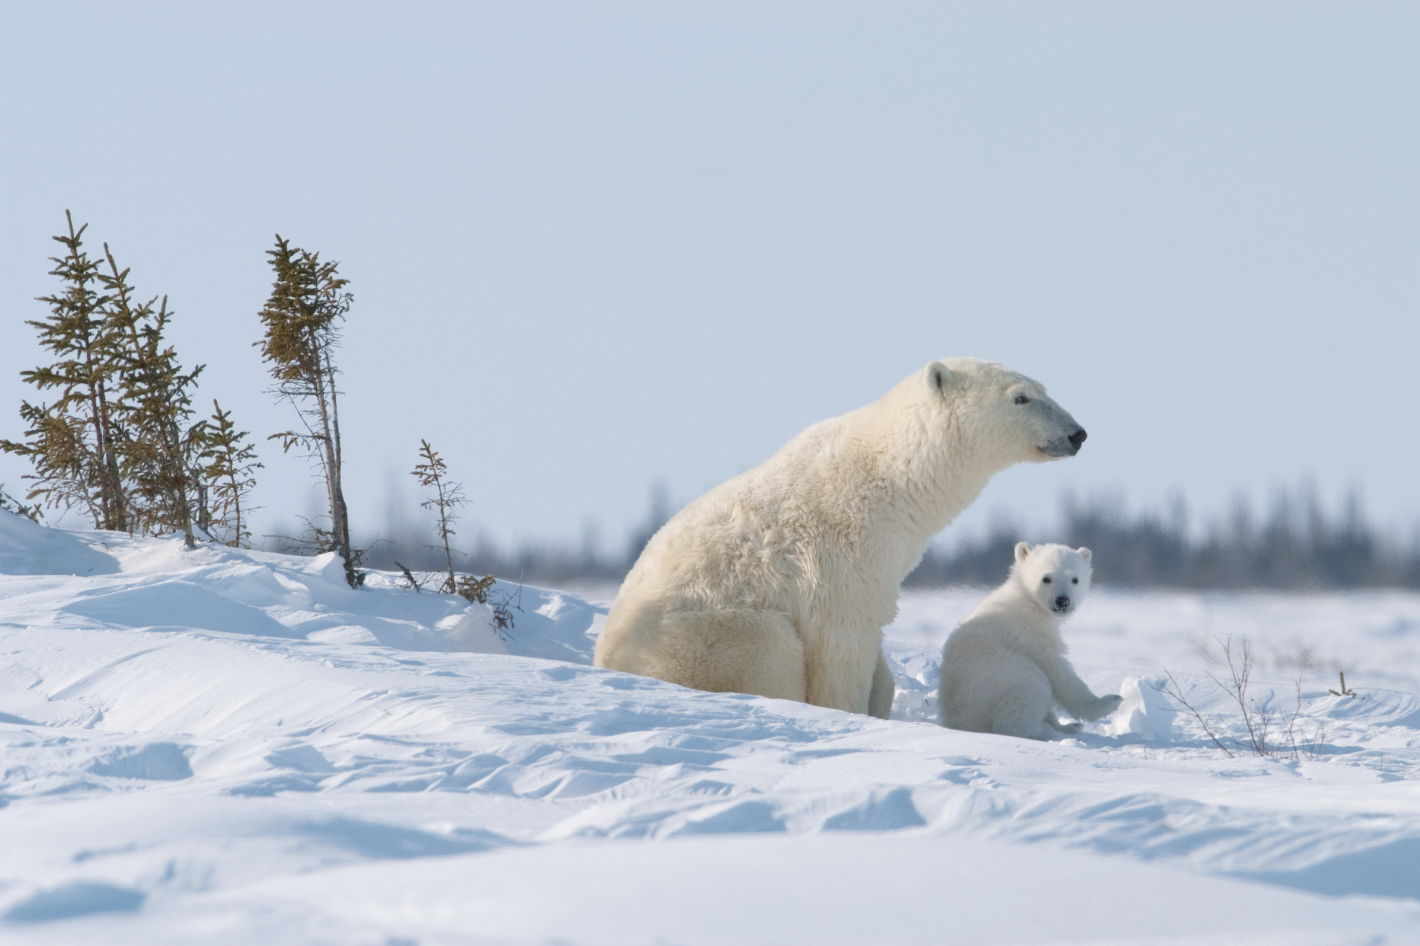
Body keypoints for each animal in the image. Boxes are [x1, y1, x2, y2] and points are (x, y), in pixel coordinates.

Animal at [593, 358, 1088, 718]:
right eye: (1021, 397)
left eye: (1043, 389)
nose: (1078, 433)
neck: (889, 480)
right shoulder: (837, 559)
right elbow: (840, 647)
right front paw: (849, 714)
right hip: (703, 638)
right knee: (770, 648)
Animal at [938, 542, 1121, 739]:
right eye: (1046, 578)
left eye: (1075, 579)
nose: (1063, 601)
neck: (1028, 600)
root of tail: (959, 723)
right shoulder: (1029, 635)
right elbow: (1059, 672)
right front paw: (1109, 701)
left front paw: (1072, 724)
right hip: (998, 678)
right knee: (1028, 691)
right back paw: (1045, 731)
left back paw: (1066, 727)